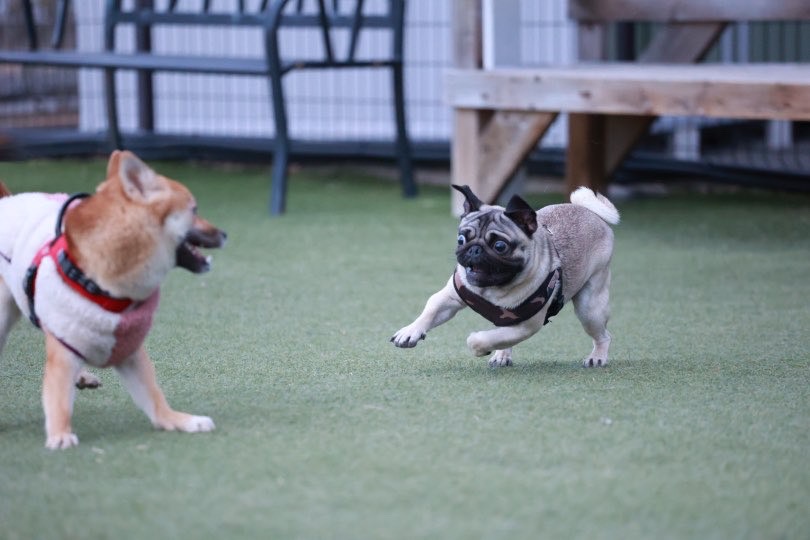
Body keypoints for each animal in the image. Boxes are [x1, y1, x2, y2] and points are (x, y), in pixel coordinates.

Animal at [1, 150, 227, 450]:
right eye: (194, 210)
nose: (224, 234)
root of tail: (7, 200)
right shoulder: (66, 348)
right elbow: (58, 397)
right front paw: (60, 434)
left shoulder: (129, 349)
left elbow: (154, 397)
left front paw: (178, 420)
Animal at [388, 185, 616, 368]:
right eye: (461, 239)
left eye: (500, 246)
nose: (474, 249)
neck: (492, 289)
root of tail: (590, 212)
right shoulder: (449, 298)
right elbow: (430, 310)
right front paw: (410, 332)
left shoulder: (525, 326)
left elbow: (482, 339)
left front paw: (478, 345)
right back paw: (502, 356)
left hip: (589, 309)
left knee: (603, 336)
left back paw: (597, 357)